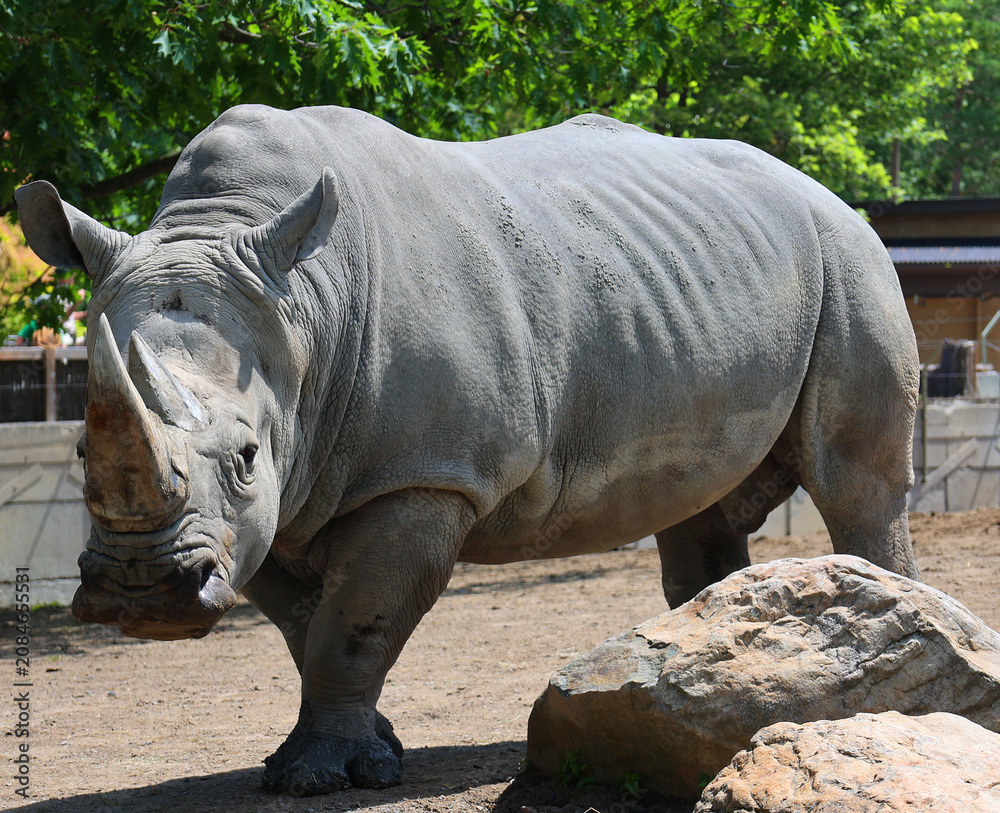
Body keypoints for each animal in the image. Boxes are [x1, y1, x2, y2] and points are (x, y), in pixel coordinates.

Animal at [15, 105, 919, 796]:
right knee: (697, 505)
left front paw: (320, 777)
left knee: (856, 482)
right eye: (81, 455)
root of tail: (827, 194)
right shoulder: (280, 496)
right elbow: (305, 625)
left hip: (851, 260)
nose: (143, 595)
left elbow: (355, 621)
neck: (300, 313)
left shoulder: (421, 477)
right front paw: (361, 748)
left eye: (241, 454)